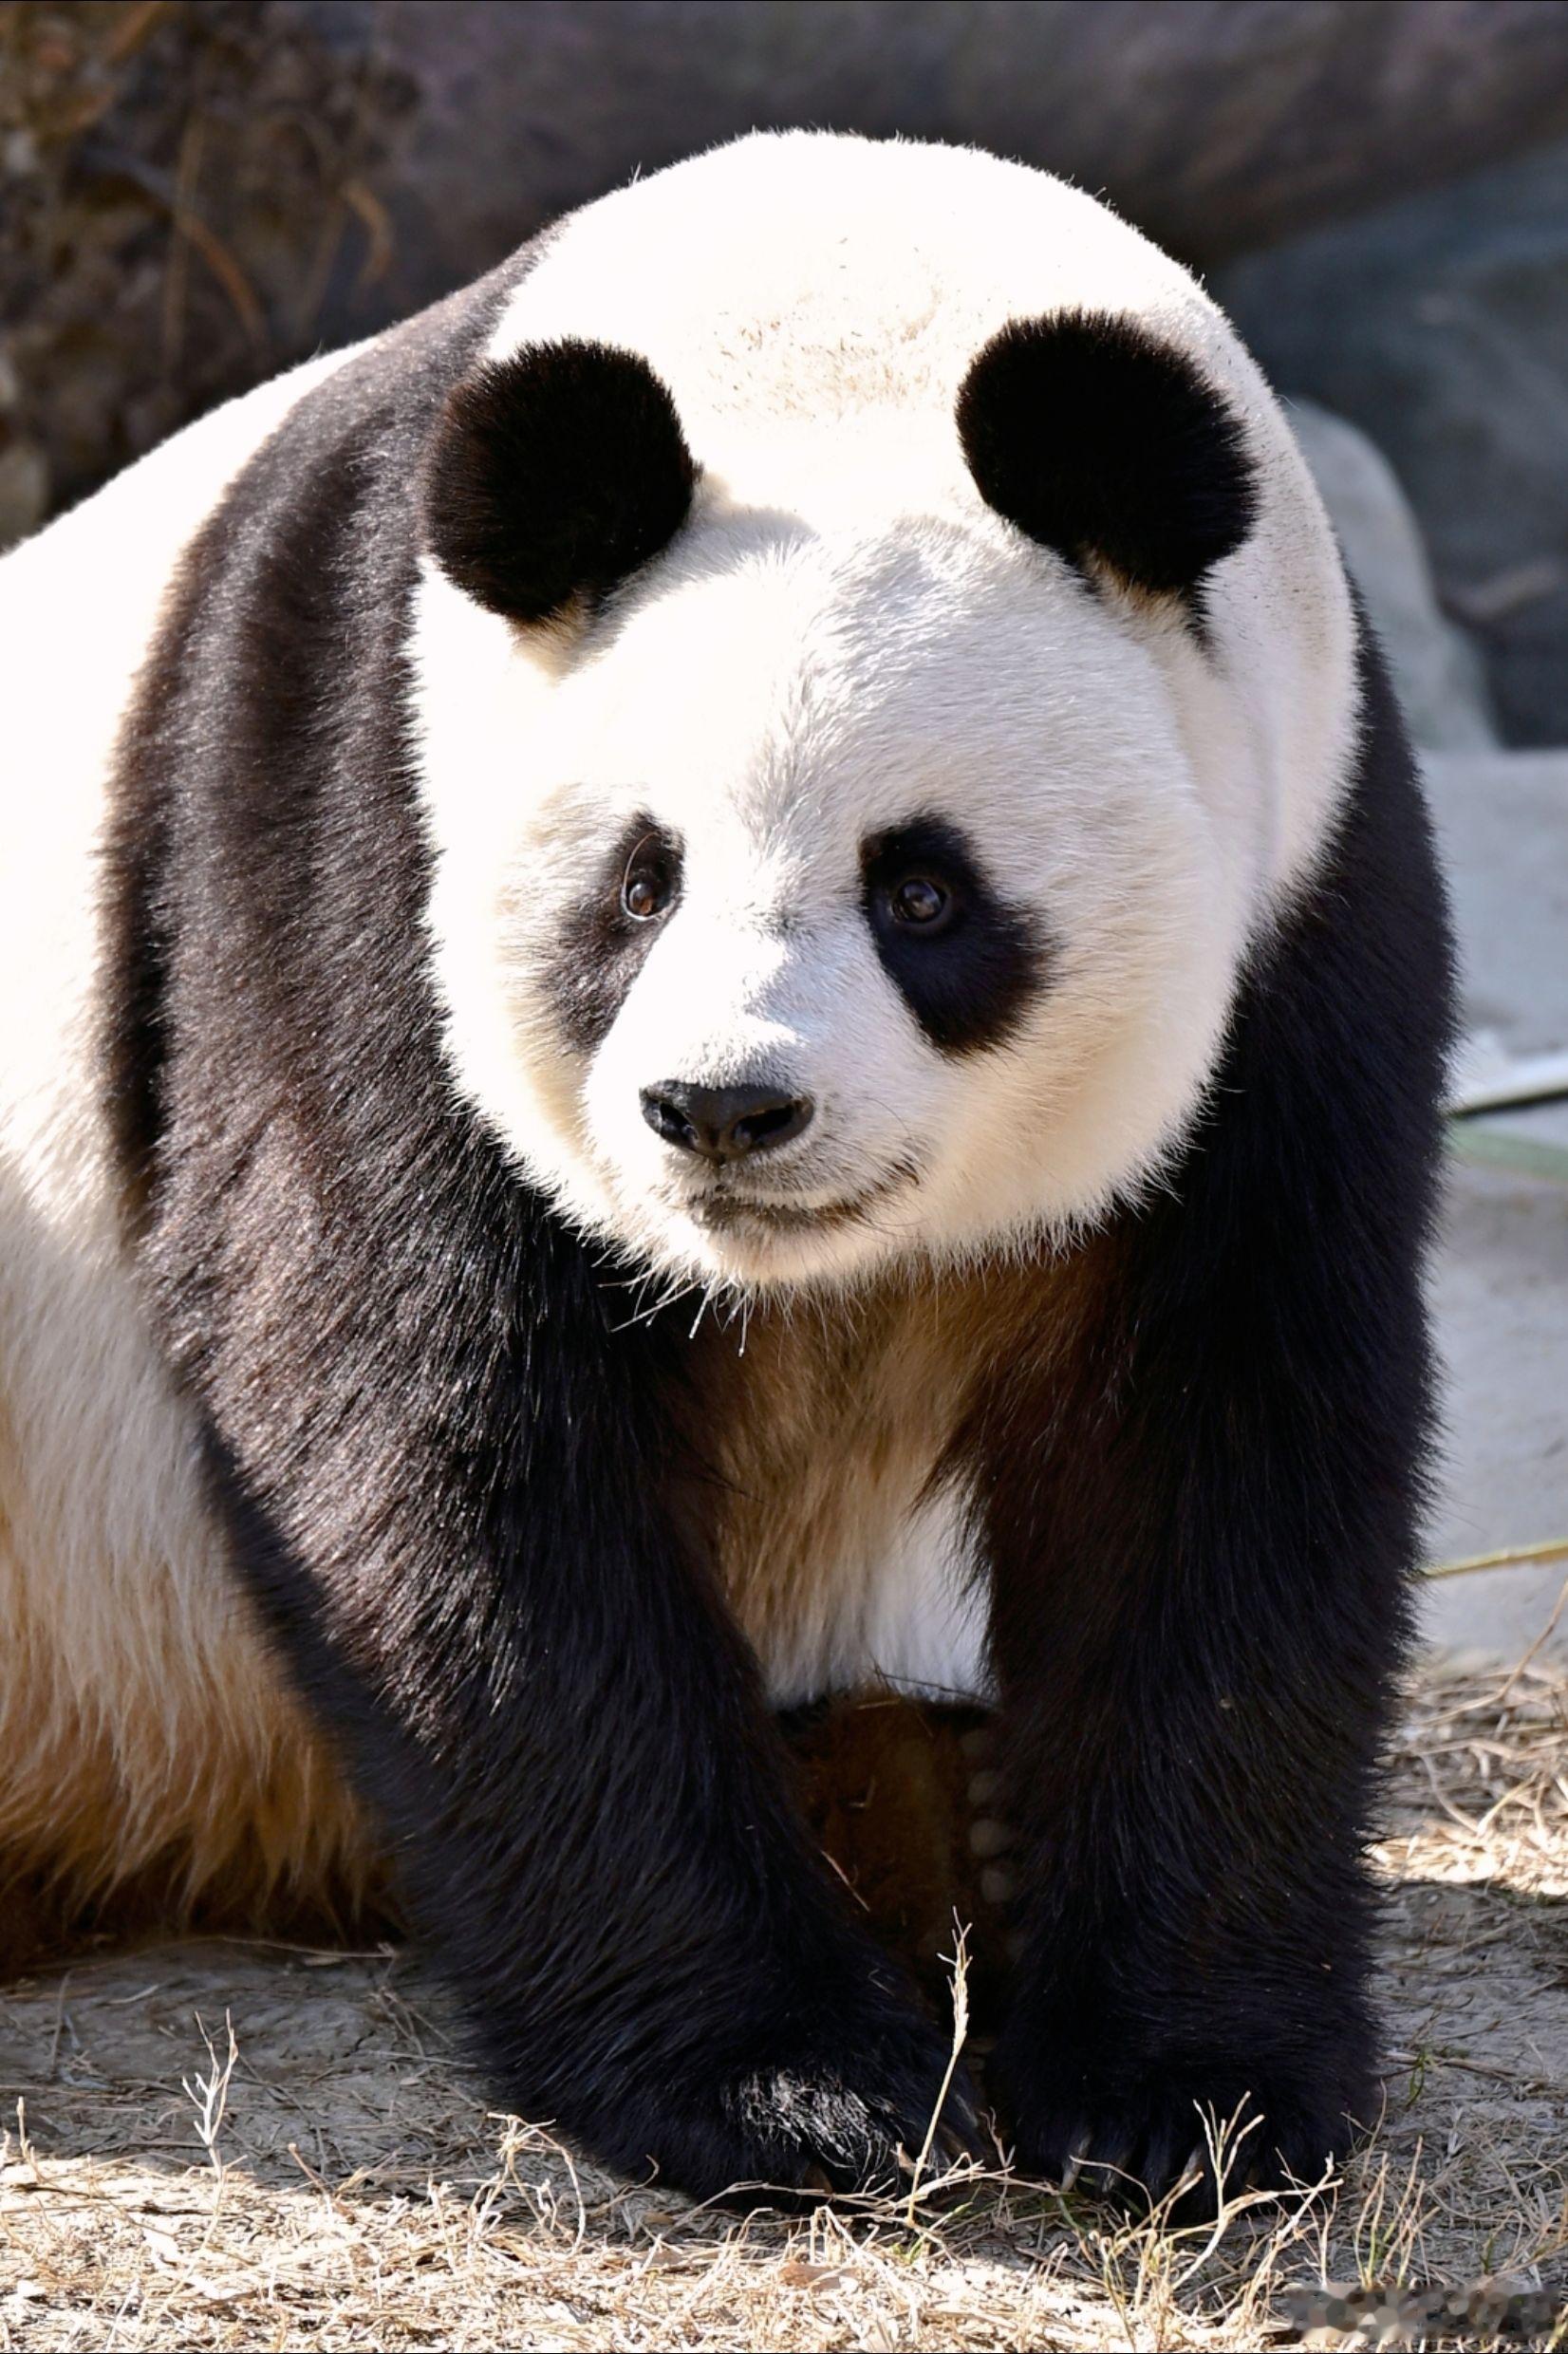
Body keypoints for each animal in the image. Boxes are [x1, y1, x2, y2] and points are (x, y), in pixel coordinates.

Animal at [0, 133, 1449, 2203]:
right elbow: (419, 1409)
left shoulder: (1304, 893)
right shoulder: (342, 808)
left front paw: (1187, 2086)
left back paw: (941, 1814)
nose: (722, 1111)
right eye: (637, 881)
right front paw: (784, 2079)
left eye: (921, 890)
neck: (843, 304)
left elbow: (1223, 1440)